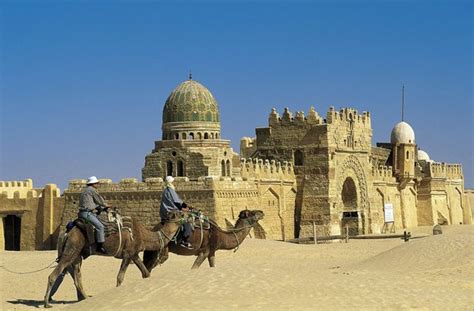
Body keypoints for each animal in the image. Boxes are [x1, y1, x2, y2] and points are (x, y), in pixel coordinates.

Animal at [44, 211, 185, 308]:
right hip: (72, 249)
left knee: (76, 277)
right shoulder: (128, 254)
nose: (186, 212)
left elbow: (146, 273)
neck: (143, 235)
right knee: (54, 274)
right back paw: (47, 303)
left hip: (77, 255)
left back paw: (86, 298)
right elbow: (120, 277)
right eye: (179, 214)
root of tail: (66, 233)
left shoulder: (134, 254)